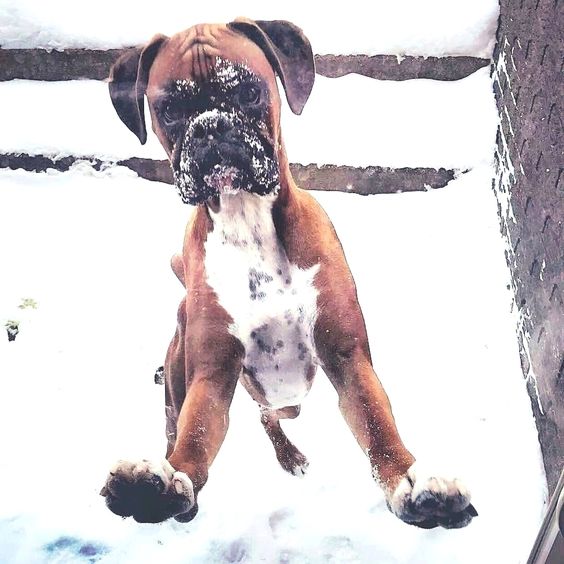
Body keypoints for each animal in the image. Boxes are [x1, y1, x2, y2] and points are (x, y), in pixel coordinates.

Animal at [100, 17, 476, 528]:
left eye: (248, 93)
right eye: (171, 109)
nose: (212, 127)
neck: (245, 218)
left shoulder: (347, 358)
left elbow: (378, 426)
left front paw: (412, 482)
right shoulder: (212, 376)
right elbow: (195, 435)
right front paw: (166, 480)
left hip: (289, 398)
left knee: (269, 415)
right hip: (190, 377)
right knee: (178, 420)